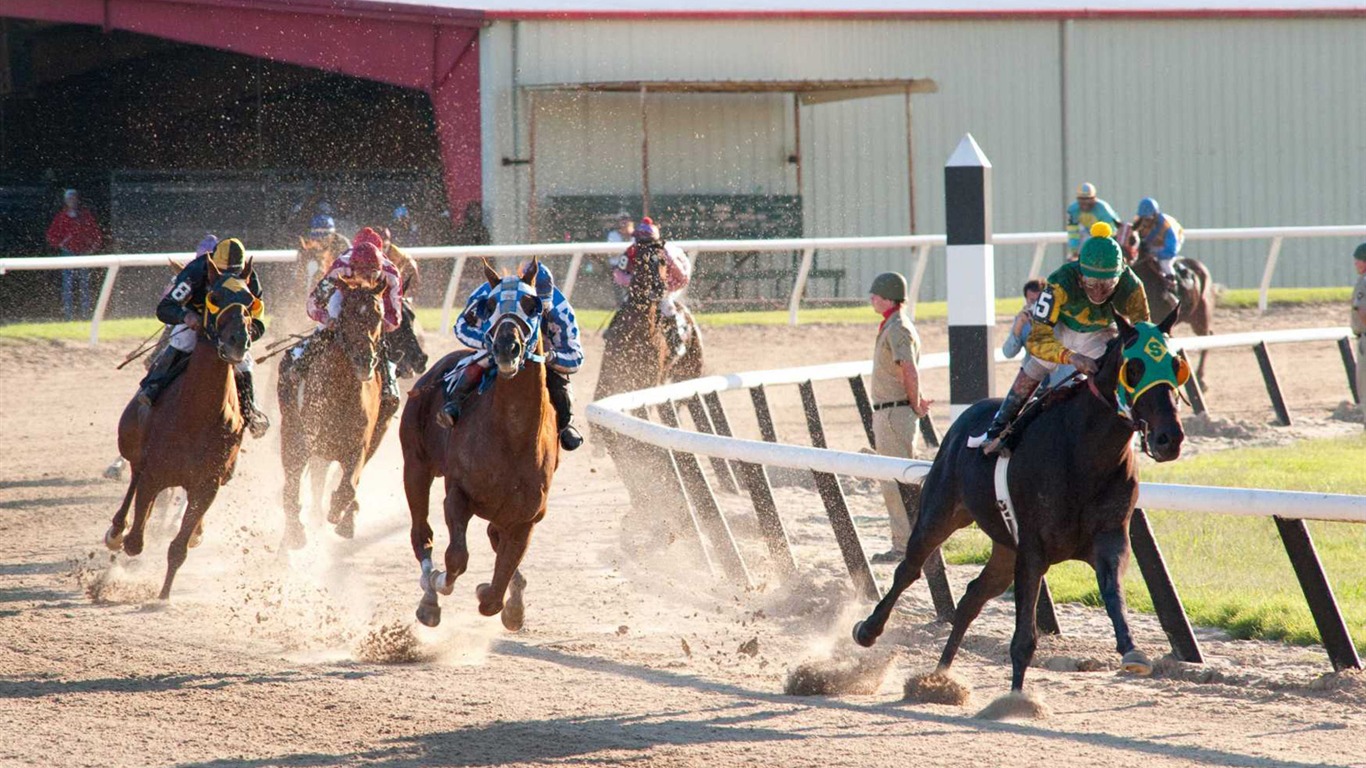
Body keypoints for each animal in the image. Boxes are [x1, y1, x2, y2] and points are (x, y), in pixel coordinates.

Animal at [105, 256, 262, 598]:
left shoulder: (208, 484)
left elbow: (178, 547)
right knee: (133, 481)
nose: (238, 341)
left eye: (249, 301)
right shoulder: (154, 473)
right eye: (214, 297)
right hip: (133, 445)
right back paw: (115, 530)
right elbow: (136, 540)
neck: (198, 414)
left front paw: (163, 596)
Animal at [274, 271, 387, 541]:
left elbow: (348, 485)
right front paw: (296, 532)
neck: (341, 391)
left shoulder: (359, 443)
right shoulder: (303, 438)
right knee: (295, 482)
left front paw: (340, 513)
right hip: (292, 431)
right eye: (346, 314)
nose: (364, 360)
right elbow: (293, 485)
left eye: (378, 315)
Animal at [398, 256, 560, 628]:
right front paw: (437, 585)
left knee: (492, 540)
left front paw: (504, 600)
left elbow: (496, 589)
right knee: (421, 534)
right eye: (488, 305)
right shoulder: (458, 494)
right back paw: (429, 597)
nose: (505, 348)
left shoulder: (525, 518)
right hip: (415, 465)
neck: (512, 436)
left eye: (532, 304)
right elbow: (456, 557)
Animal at [852, 308, 1185, 699]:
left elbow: (1113, 592)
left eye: (1176, 363)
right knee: (910, 568)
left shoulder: (1109, 538)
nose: (1169, 438)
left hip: (1004, 547)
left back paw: (940, 676)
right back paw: (868, 631)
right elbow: (1023, 640)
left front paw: (1132, 651)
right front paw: (1015, 699)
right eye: (1134, 368)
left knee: (973, 596)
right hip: (941, 512)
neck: (1083, 454)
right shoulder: (1033, 549)